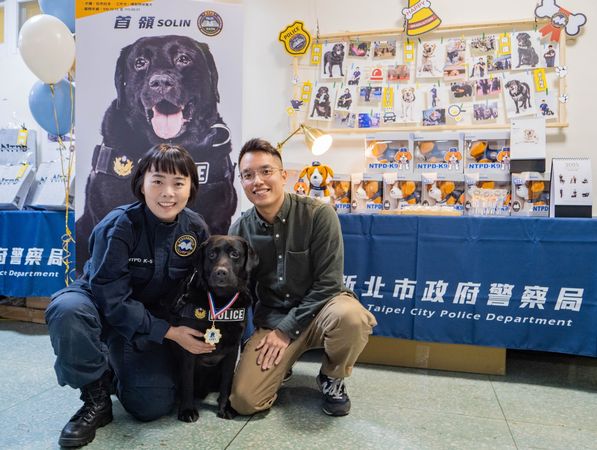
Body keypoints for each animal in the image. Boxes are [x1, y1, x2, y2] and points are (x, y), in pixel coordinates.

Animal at [170, 236, 258, 422]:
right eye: (211, 255)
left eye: (235, 254)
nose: (221, 272)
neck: (220, 301)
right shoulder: (188, 346)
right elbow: (187, 381)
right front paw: (187, 410)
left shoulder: (232, 349)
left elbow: (226, 383)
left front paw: (225, 407)